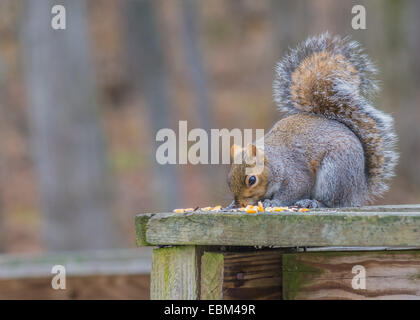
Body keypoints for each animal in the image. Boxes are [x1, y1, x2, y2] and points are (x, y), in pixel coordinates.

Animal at [228, 32, 398, 208]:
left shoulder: (295, 173)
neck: (275, 163)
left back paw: (313, 202)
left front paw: (274, 203)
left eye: (252, 180)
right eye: (228, 181)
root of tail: (359, 190)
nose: (240, 204)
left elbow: (295, 188)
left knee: (333, 201)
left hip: (334, 174)